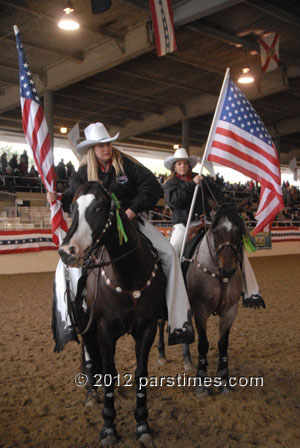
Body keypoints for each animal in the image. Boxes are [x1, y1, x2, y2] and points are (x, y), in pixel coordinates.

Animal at [58, 181, 166, 444]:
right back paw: (90, 393)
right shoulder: (104, 331)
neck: (128, 275)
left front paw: (142, 424)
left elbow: (140, 373)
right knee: (87, 356)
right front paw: (108, 427)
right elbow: (106, 371)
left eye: (98, 207)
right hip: (85, 326)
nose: (67, 251)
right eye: (73, 207)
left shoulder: (147, 329)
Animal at [185, 205, 246, 394]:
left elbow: (223, 344)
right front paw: (201, 382)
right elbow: (203, 344)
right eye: (216, 232)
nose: (228, 270)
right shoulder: (200, 311)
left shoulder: (230, 311)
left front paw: (224, 380)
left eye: (238, 231)